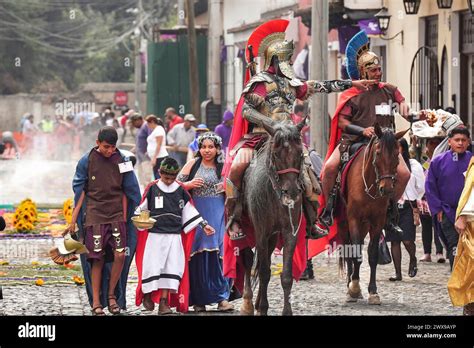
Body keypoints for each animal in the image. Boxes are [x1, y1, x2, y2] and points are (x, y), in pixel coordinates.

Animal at [239, 119, 306, 316]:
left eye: (300, 153)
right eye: (276, 154)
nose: (292, 192)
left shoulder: (289, 232)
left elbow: (285, 275)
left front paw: (287, 311)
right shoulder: (260, 232)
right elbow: (263, 271)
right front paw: (262, 308)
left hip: (273, 235)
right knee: (248, 259)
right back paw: (248, 302)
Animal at [340, 124, 404, 304]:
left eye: (397, 154)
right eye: (378, 153)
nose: (387, 189)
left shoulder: (377, 222)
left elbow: (373, 255)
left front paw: (373, 292)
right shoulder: (353, 219)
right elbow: (355, 254)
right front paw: (354, 288)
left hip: (364, 226)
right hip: (344, 224)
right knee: (348, 249)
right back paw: (349, 286)